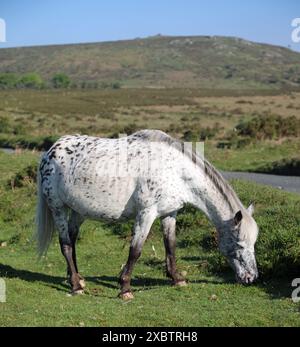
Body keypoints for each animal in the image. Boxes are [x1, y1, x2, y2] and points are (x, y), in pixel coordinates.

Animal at [36, 129, 258, 300]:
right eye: (239, 244)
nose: (251, 277)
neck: (176, 171)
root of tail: (50, 151)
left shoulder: (169, 213)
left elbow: (170, 246)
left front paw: (177, 279)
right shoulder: (146, 213)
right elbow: (135, 251)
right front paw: (125, 289)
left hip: (78, 211)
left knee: (72, 239)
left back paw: (77, 278)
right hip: (57, 208)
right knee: (65, 244)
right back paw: (76, 286)